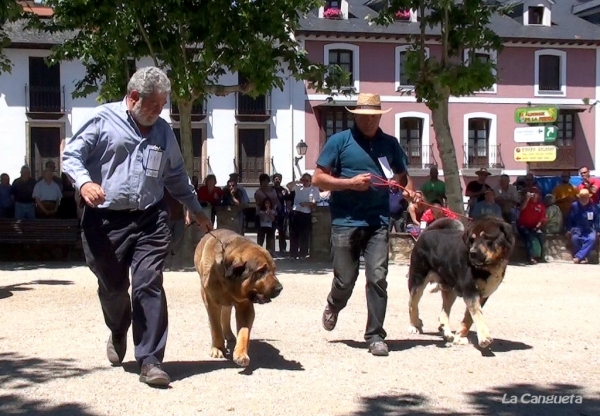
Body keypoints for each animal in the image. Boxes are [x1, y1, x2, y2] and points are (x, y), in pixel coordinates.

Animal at [195, 228, 284, 368]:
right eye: (261, 271)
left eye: (274, 270)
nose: (280, 288)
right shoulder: (211, 302)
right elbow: (215, 326)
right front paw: (218, 348)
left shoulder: (245, 306)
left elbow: (244, 332)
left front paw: (241, 354)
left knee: (226, 314)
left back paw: (229, 335)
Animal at [408, 216, 516, 350]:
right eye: (472, 240)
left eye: (487, 238)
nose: (472, 253)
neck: (486, 268)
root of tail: (426, 232)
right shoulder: (470, 291)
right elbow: (477, 314)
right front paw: (484, 337)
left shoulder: (482, 294)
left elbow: (469, 318)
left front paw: (460, 335)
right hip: (417, 282)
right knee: (412, 305)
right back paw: (414, 325)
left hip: (450, 290)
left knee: (443, 313)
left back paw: (447, 333)